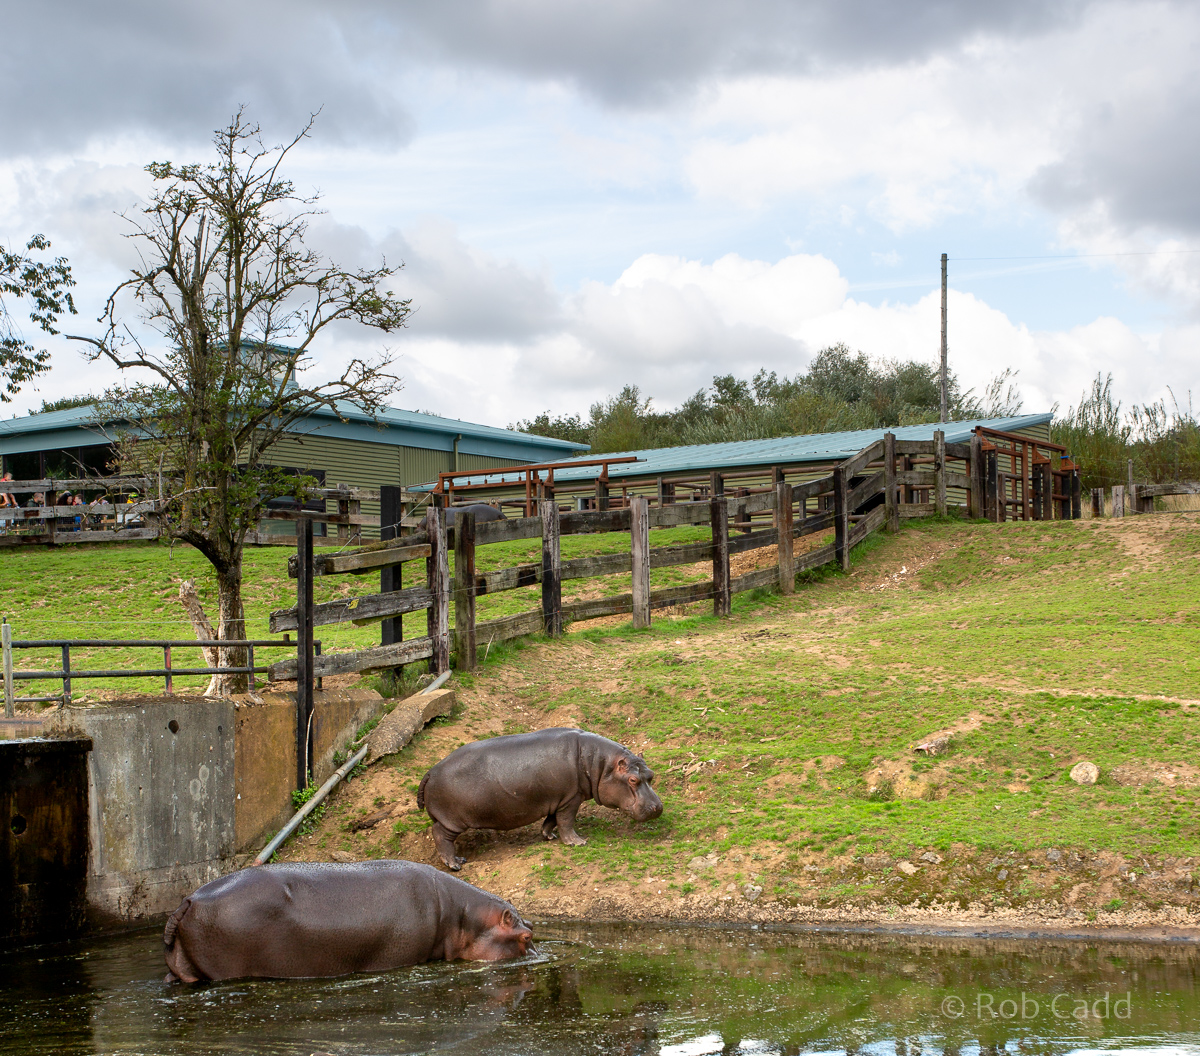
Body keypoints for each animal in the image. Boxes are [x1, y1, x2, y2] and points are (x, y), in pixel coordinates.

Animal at [418, 727, 663, 870]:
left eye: (651, 775)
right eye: (632, 780)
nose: (658, 807)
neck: (600, 764)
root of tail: (430, 772)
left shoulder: (560, 798)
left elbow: (551, 820)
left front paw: (549, 836)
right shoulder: (571, 799)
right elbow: (566, 821)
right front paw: (578, 842)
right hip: (452, 820)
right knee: (440, 835)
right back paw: (455, 864)